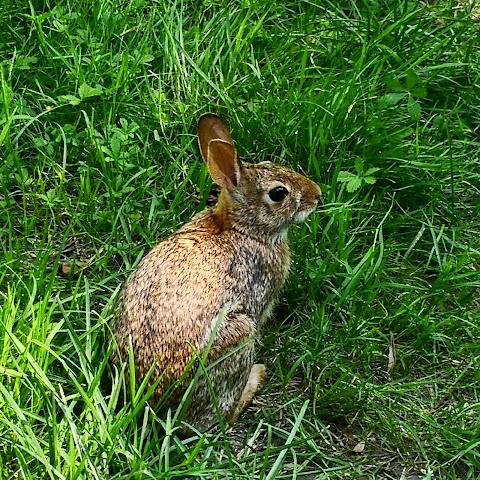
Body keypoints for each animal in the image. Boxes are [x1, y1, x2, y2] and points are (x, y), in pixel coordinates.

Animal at [113, 114, 322, 434]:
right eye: (279, 194)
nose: (317, 195)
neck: (241, 228)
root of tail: (153, 399)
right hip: (239, 338)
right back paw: (256, 377)